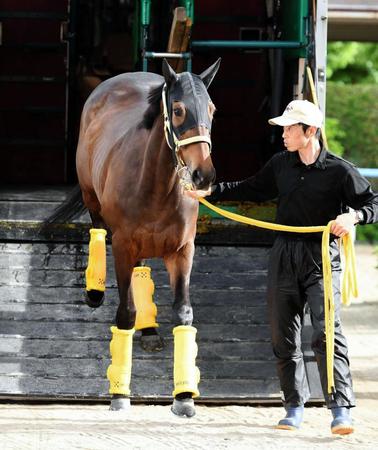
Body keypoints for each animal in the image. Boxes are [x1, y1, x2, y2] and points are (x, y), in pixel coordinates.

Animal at [46, 58, 220, 416]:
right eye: (178, 110)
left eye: (211, 109)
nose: (204, 175)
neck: (156, 186)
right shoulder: (123, 247)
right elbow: (125, 313)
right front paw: (119, 394)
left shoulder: (183, 251)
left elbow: (183, 313)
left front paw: (184, 397)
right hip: (92, 199)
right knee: (97, 231)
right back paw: (94, 291)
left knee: (143, 270)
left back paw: (149, 329)